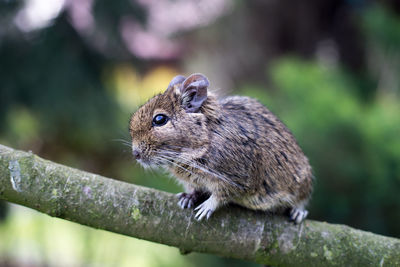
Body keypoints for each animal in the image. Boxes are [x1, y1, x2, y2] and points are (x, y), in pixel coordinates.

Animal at [130, 73, 314, 224]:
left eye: (160, 119)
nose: (135, 154)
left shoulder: (238, 179)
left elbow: (221, 195)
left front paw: (205, 209)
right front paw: (187, 198)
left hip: (303, 181)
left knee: (302, 199)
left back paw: (298, 213)